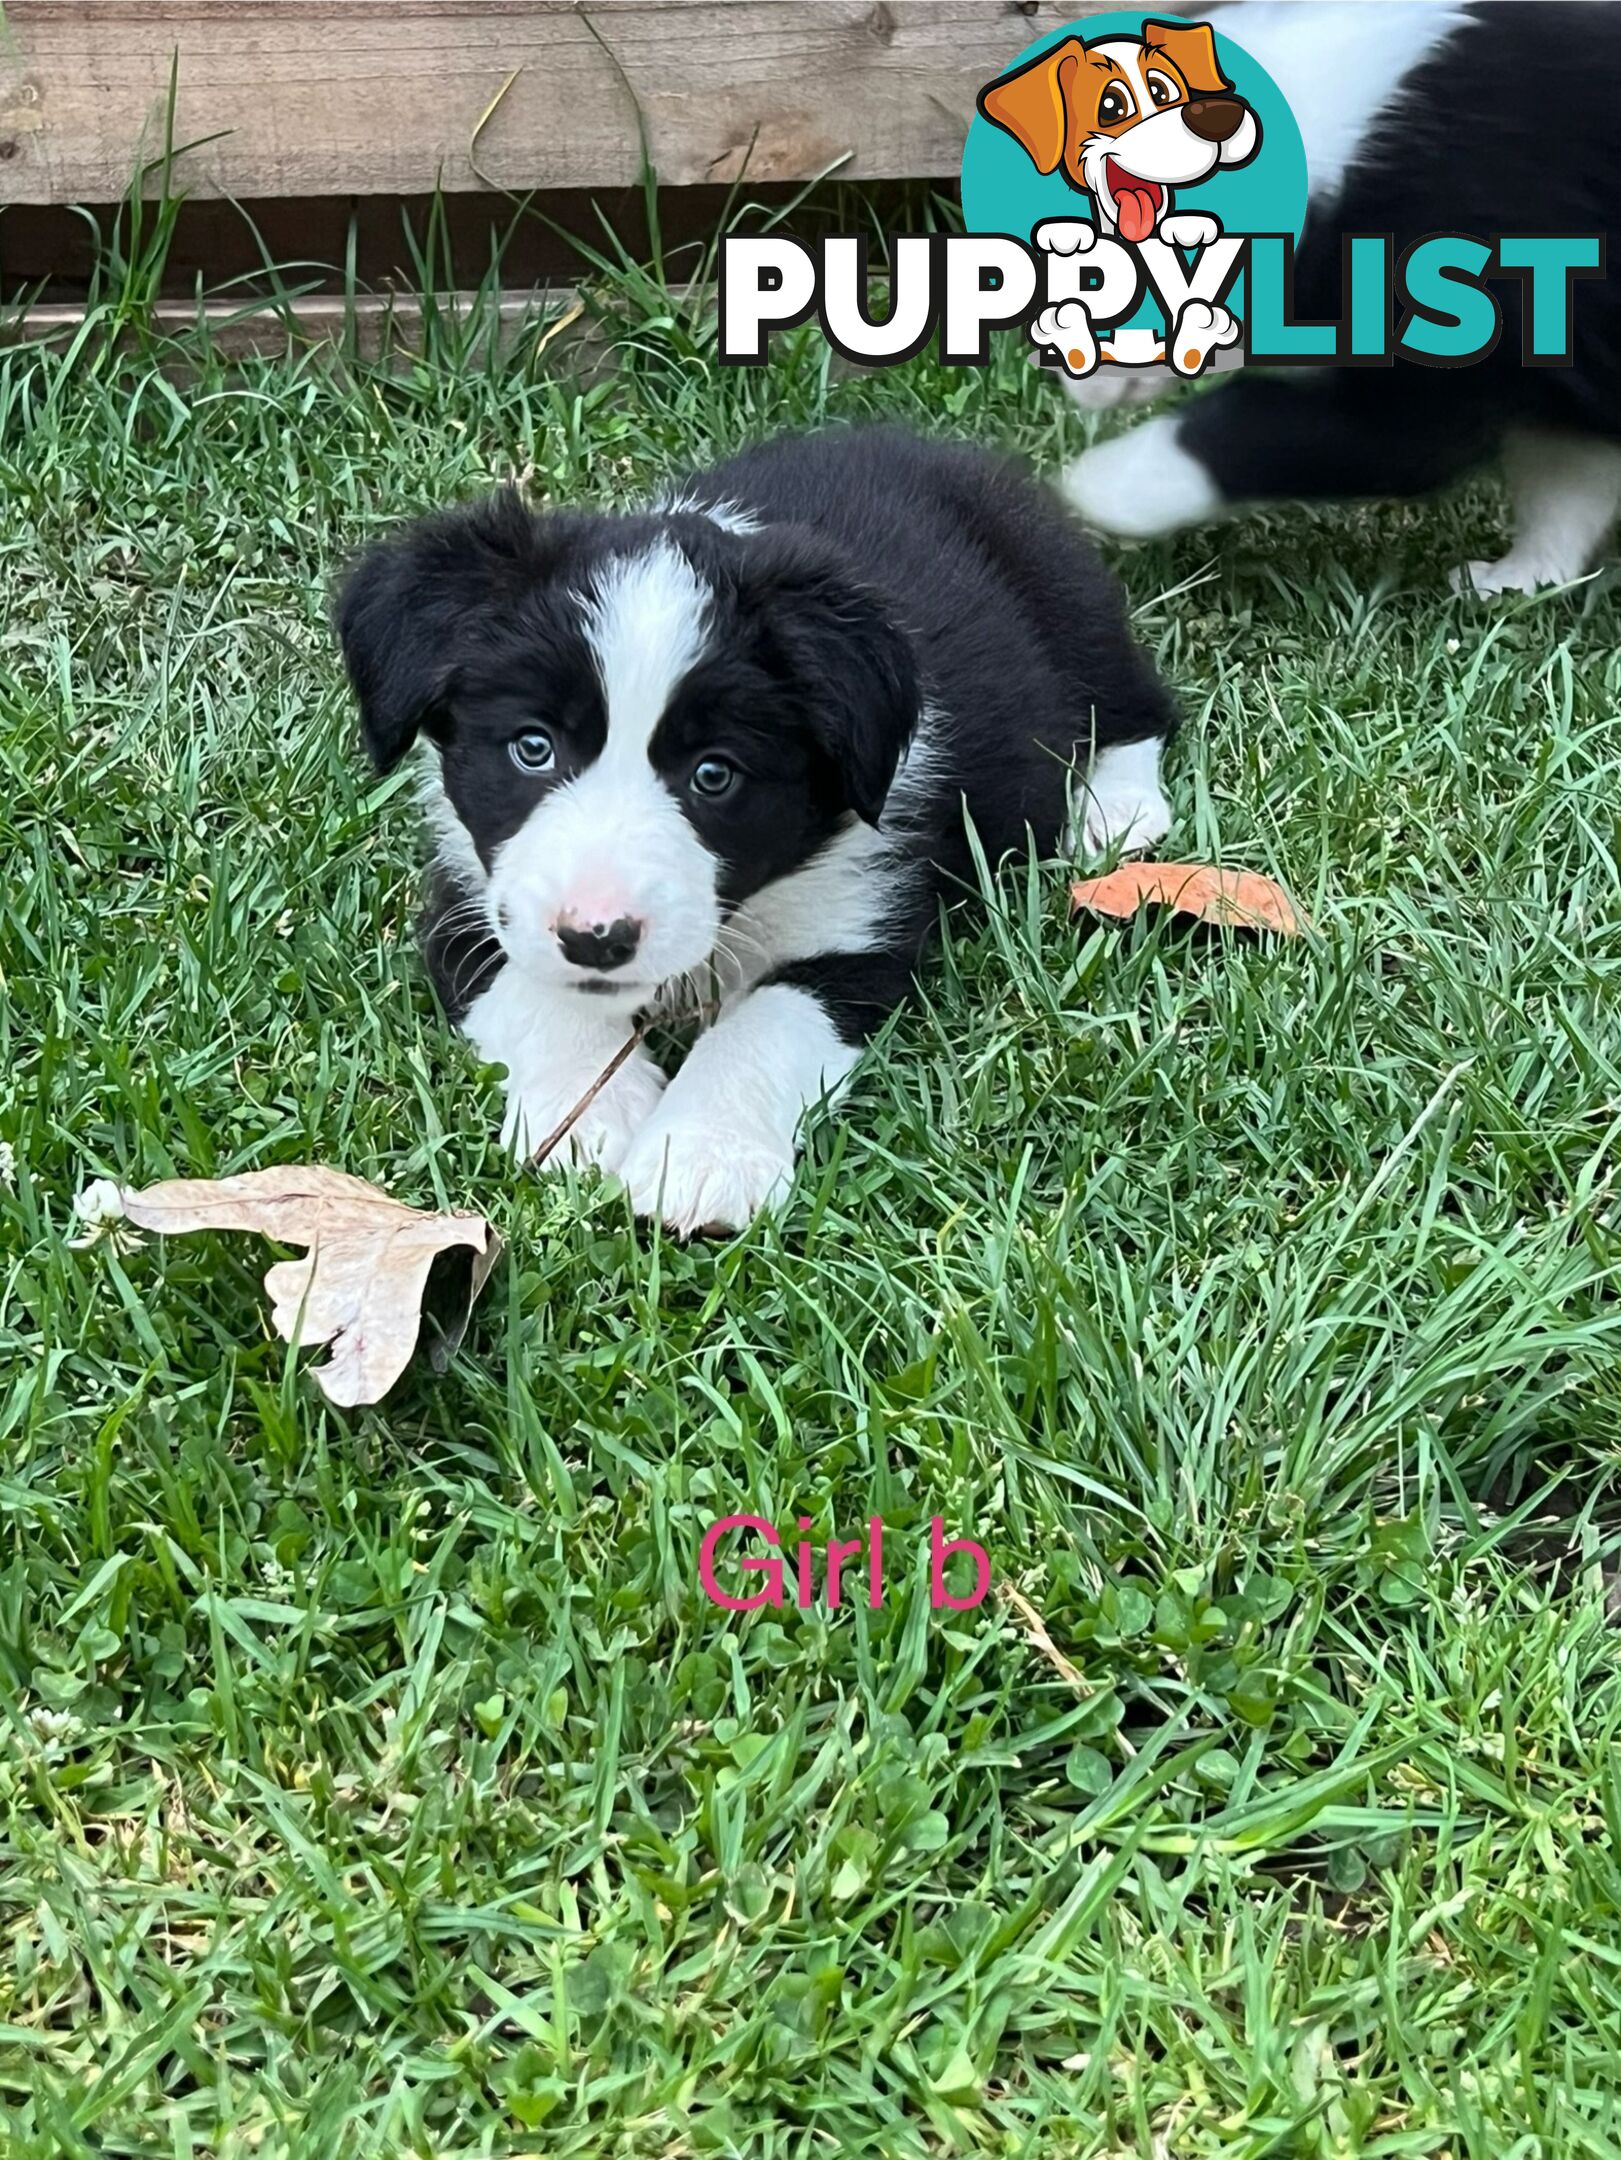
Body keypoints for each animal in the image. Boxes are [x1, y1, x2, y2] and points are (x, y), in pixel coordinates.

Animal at [339, 423, 1184, 1235]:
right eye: (532, 747)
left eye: (713, 775)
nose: (598, 937)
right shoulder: (470, 903)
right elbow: (534, 991)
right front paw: (591, 1116)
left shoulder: (858, 929)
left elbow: (767, 1024)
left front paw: (700, 1156)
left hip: (1068, 601)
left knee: (1135, 702)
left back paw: (1114, 812)